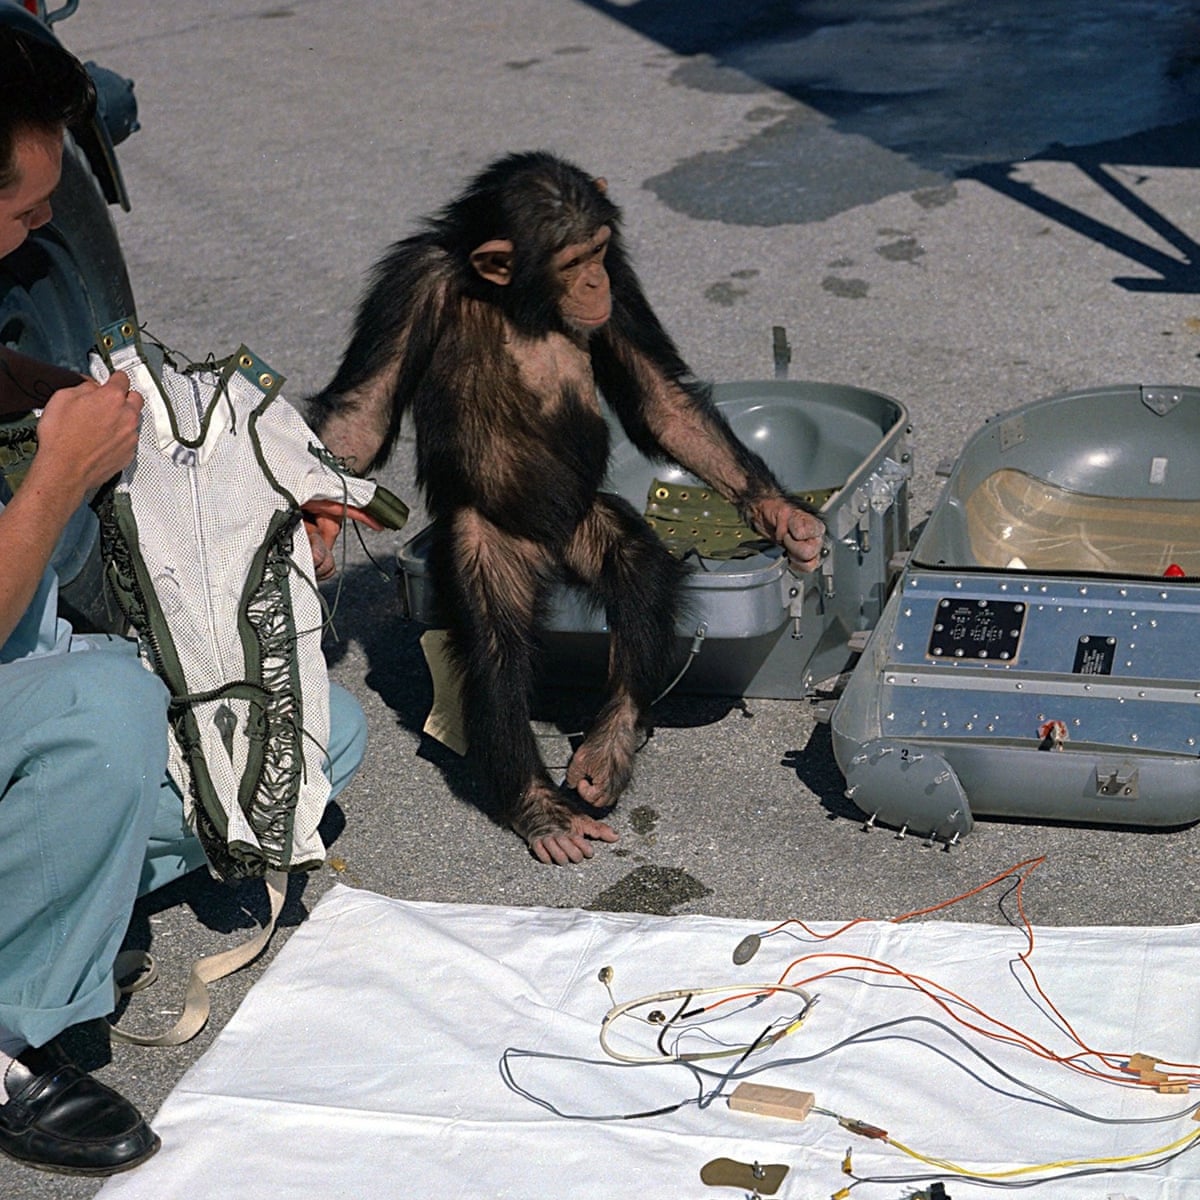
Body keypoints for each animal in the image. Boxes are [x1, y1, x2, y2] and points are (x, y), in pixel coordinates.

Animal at [308, 151, 825, 865]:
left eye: (600, 250)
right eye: (572, 259)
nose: (592, 281)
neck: (518, 298)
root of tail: (550, 555)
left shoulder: (625, 283)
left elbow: (662, 398)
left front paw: (784, 518)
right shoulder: (407, 285)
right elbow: (364, 411)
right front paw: (314, 532)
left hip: (586, 519)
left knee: (639, 572)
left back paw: (607, 748)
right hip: (488, 541)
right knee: (494, 642)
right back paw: (541, 808)